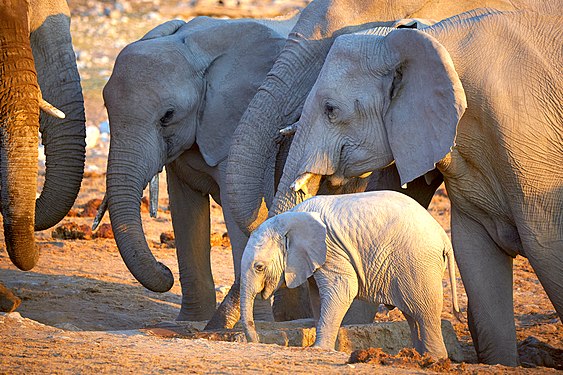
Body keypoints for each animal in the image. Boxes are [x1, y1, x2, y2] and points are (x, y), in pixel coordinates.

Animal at [102, 16, 298, 328]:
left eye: (168, 116)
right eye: (106, 106)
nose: (164, 269)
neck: (195, 51)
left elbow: (245, 212)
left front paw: (255, 324)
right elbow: (186, 212)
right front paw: (189, 321)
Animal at [240, 192, 460, 360]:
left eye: (259, 267)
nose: (257, 341)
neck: (290, 219)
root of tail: (442, 236)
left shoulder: (331, 250)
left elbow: (343, 288)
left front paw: (318, 349)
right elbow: (317, 297)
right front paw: (327, 346)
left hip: (417, 263)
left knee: (424, 311)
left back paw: (433, 359)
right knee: (412, 313)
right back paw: (417, 356)